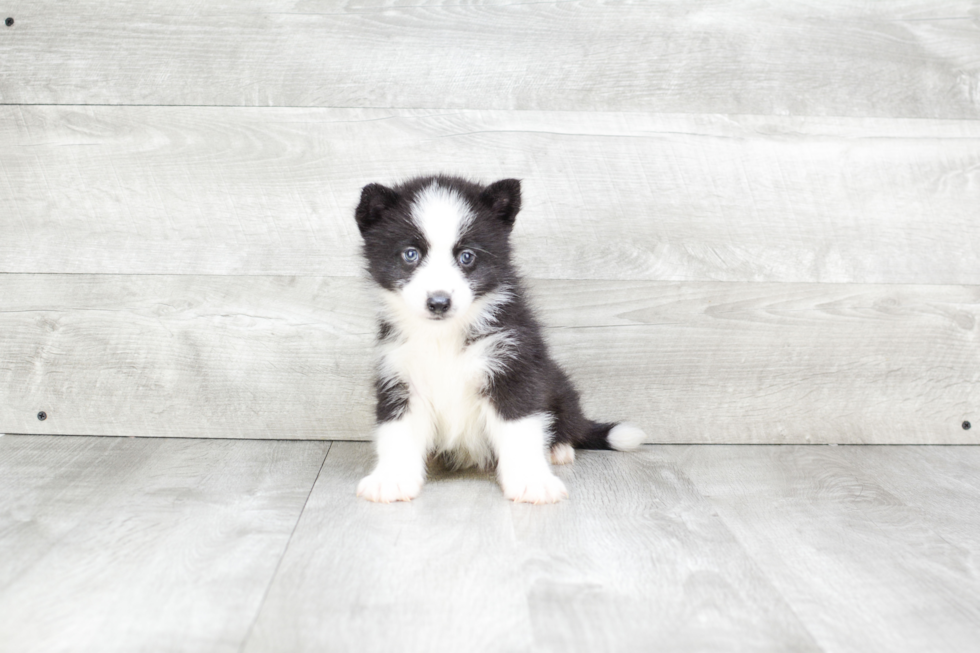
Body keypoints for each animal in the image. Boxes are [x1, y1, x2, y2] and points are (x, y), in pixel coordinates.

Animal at [352, 174, 644, 504]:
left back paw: (558, 448)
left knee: (569, 423)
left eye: (467, 257)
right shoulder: (399, 374)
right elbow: (397, 430)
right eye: (410, 254)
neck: (443, 336)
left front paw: (532, 481)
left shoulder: (512, 366)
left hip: (558, 384)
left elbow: (520, 427)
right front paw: (391, 479)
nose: (439, 303)